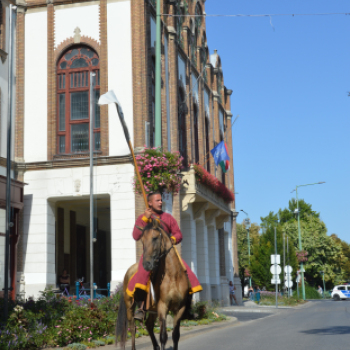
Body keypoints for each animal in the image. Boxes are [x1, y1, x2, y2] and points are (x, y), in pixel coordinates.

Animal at [116, 220, 190, 348]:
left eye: (155, 238)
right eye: (142, 240)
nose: (146, 264)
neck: (173, 276)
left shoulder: (180, 308)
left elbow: (175, 335)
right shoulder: (162, 306)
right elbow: (163, 336)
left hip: (152, 309)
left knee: (149, 324)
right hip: (130, 305)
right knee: (133, 328)